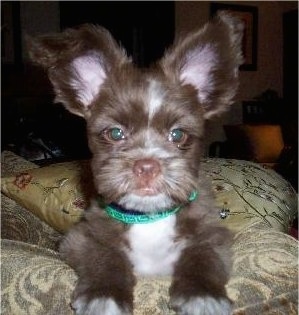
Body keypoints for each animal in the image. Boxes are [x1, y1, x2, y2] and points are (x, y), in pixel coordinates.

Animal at [27, 12, 244, 315]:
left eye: (178, 135)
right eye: (115, 133)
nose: (147, 165)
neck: (148, 218)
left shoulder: (213, 234)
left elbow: (203, 255)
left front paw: (203, 295)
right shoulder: (80, 237)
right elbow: (105, 255)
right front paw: (104, 296)